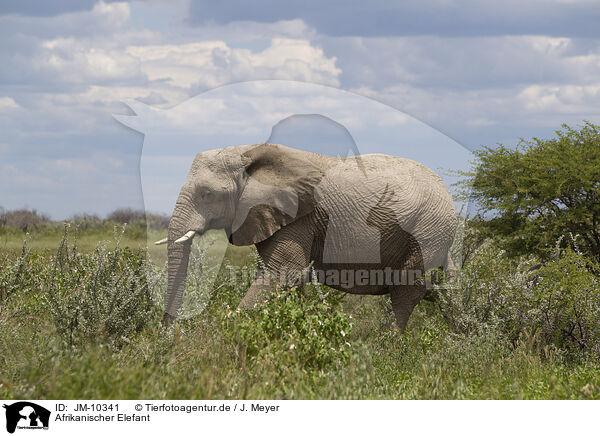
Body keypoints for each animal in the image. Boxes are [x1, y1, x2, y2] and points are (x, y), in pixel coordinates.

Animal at [157, 143, 458, 330]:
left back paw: (387, 346)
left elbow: (283, 272)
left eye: (207, 194)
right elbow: (288, 279)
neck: (249, 152)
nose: (167, 333)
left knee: (406, 290)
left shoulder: (299, 216)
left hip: (427, 229)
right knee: (443, 290)